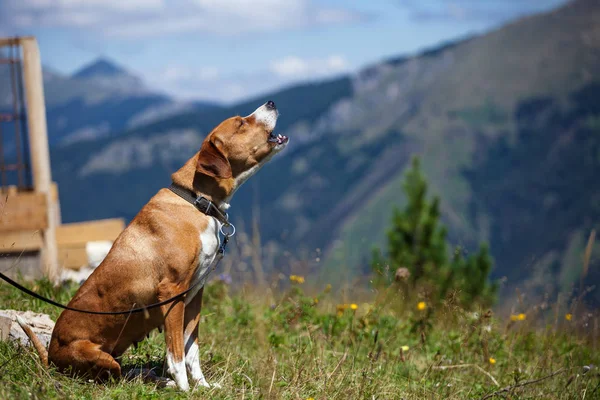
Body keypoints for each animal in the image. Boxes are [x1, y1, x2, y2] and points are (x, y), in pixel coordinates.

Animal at [18, 100, 288, 390]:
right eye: (241, 123)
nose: (271, 102)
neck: (195, 201)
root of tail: (51, 356)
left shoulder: (195, 294)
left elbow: (192, 350)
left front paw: (202, 386)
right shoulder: (172, 293)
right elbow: (176, 353)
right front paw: (185, 390)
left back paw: (156, 378)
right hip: (100, 358)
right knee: (113, 377)